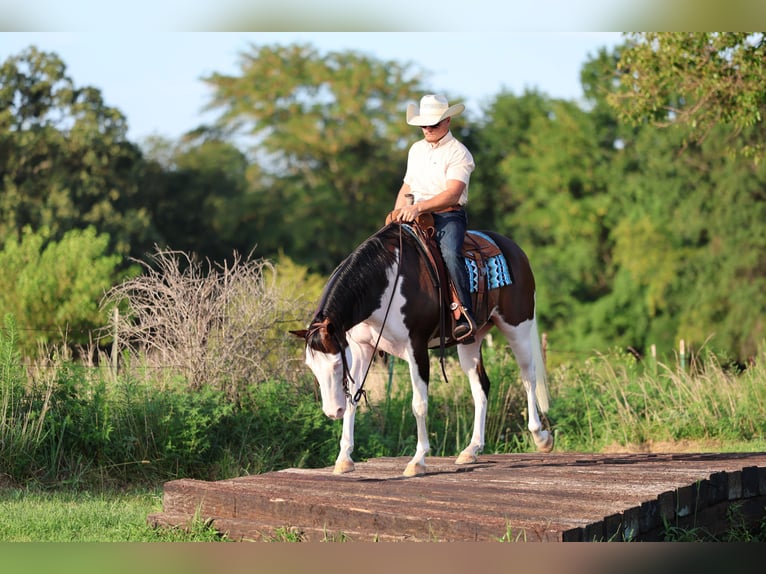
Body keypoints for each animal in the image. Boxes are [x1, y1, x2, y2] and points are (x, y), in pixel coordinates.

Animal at [290, 221, 552, 477]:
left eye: (336, 364)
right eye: (311, 366)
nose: (332, 411)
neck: (385, 283)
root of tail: (514, 249)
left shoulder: (416, 347)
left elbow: (419, 404)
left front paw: (417, 461)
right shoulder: (361, 348)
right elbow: (353, 399)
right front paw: (344, 459)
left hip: (517, 327)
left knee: (528, 377)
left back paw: (541, 437)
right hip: (471, 340)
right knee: (481, 388)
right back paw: (471, 450)